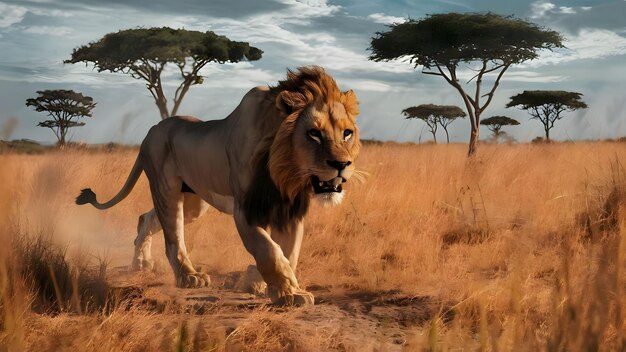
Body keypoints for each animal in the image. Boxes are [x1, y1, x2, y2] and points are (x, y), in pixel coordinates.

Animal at [75, 66, 358, 306]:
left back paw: (141, 263)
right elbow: (269, 250)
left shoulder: (289, 210)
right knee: (173, 237)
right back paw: (189, 276)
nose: (342, 164)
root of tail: (152, 129)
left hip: (193, 203)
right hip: (166, 188)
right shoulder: (244, 211)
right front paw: (289, 294)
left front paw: (259, 283)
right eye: (313, 133)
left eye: (347, 133)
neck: (285, 173)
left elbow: (289, 251)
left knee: (147, 219)